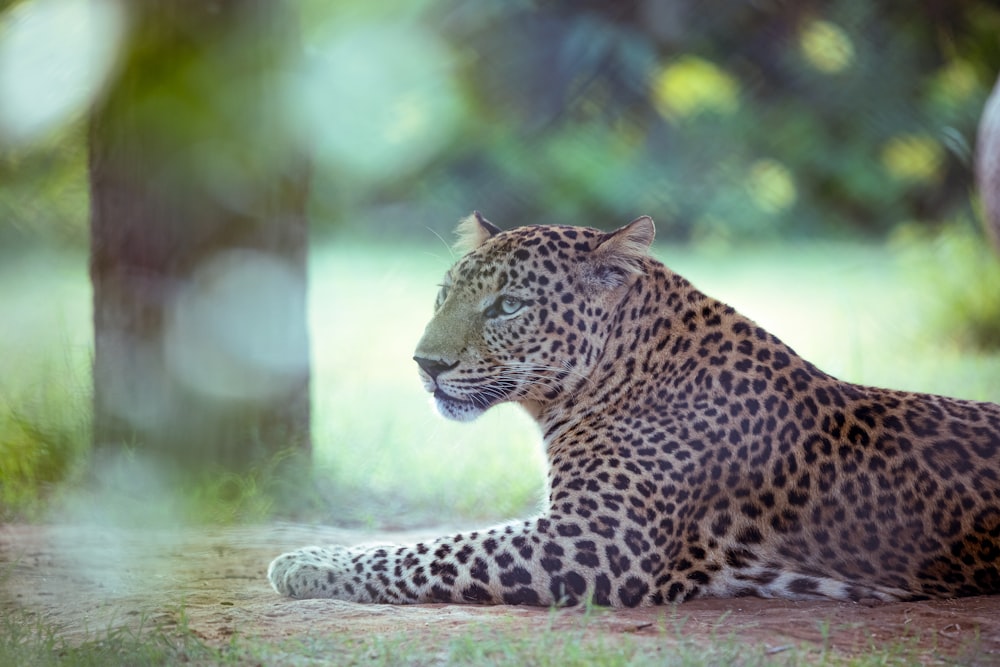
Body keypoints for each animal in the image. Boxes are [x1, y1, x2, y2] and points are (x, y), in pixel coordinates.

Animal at [268, 213, 1000, 604]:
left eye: (508, 306)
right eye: (443, 295)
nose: (425, 364)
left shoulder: (597, 539)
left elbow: (433, 550)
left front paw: (307, 563)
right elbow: (436, 540)